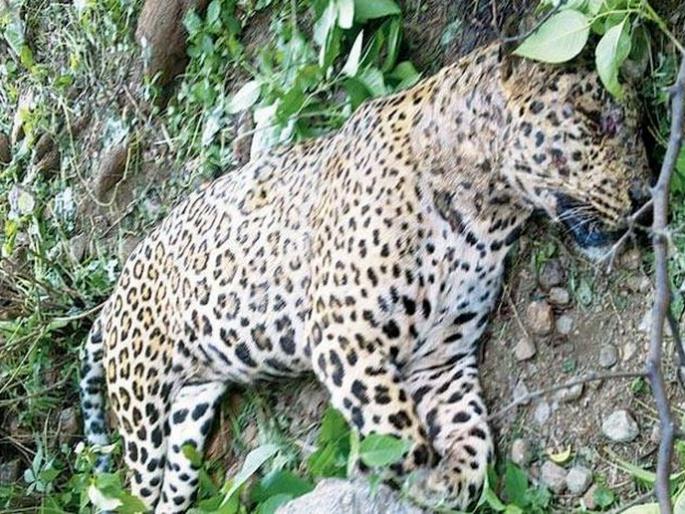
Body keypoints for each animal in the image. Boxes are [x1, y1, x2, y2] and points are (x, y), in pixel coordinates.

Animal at [79, 41, 652, 512]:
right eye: (598, 123)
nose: (647, 200)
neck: (484, 209)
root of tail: (115, 292)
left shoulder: (440, 360)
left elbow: (473, 440)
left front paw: (444, 482)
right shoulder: (345, 332)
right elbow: (394, 424)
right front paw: (389, 471)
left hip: (188, 414)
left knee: (170, 492)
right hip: (141, 406)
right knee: (136, 488)